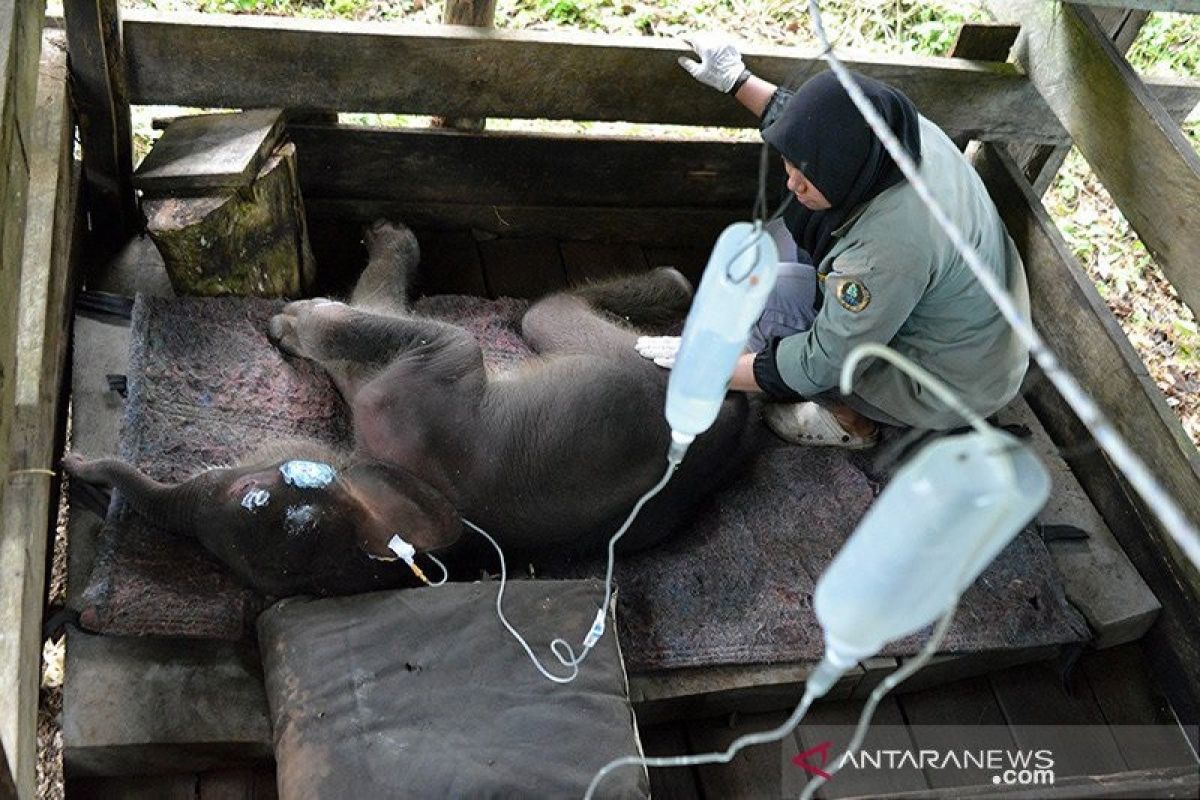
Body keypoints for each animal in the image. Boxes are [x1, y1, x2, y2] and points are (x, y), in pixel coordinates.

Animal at [63, 221, 748, 597]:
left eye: (258, 485)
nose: (75, 463)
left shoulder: (423, 389)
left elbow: (396, 326)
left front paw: (292, 317)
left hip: (632, 358)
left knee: (543, 311)